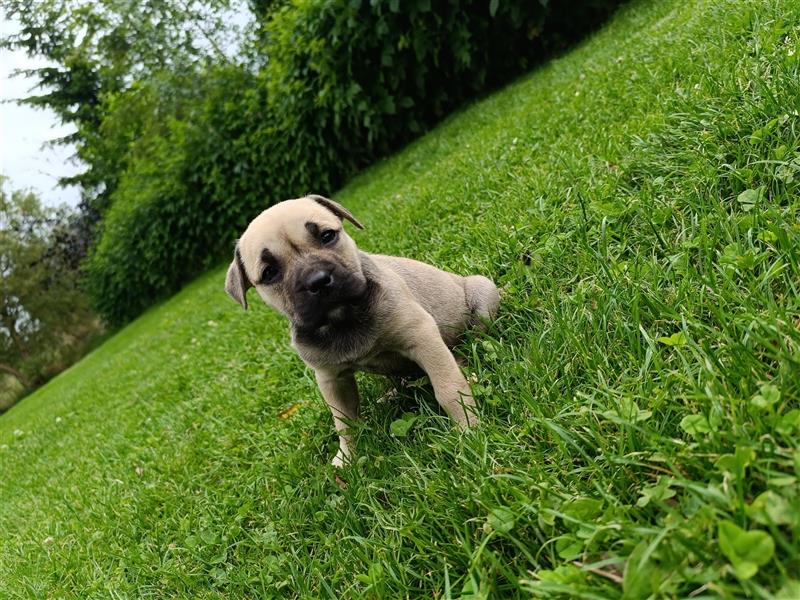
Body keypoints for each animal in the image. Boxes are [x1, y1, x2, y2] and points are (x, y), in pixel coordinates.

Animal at [225, 195, 496, 466]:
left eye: (327, 236)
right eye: (269, 273)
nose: (318, 280)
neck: (343, 318)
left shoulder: (422, 337)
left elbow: (447, 388)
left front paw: (468, 429)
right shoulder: (331, 379)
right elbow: (344, 422)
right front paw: (347, 458)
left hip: (482, 294)